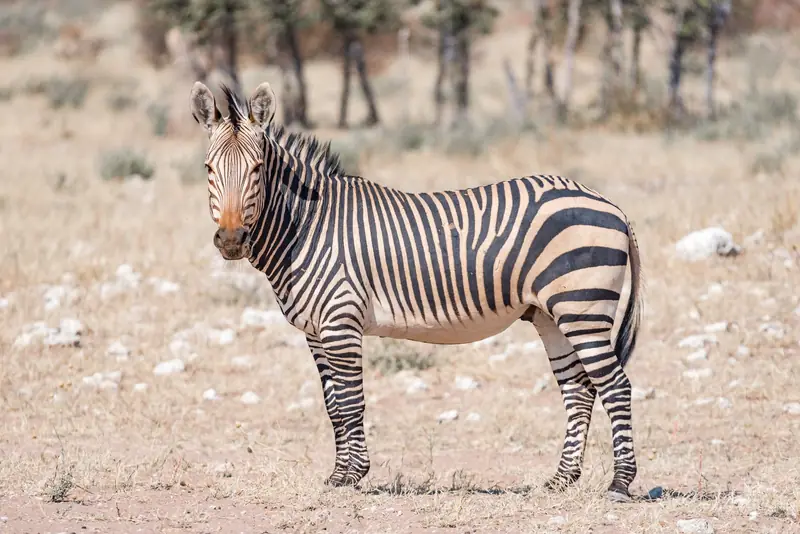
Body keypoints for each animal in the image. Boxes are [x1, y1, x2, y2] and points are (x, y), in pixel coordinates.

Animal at [189, 81, 644, 502]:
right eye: (209, 169)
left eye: (257, 169)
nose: (231, 241)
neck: (306, 225)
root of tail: (610, 204)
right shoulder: (315, 332)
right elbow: (333, 405)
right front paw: (337, 475)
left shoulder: (340, 322)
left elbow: (351, 401)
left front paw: (354, 475)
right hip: (552, 316)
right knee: (578, 390)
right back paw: (560, 480)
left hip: (582, 309)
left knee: (615, 386)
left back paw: (620, 483)